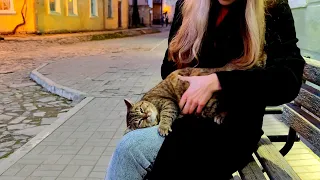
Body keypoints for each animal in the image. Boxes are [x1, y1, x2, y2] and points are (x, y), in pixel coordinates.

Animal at [124, 55, 266, 136]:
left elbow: (166, 115)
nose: (146, 115)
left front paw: (163, 126)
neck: (149, 99)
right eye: (140, 121)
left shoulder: (168, 103)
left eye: (141, 109)